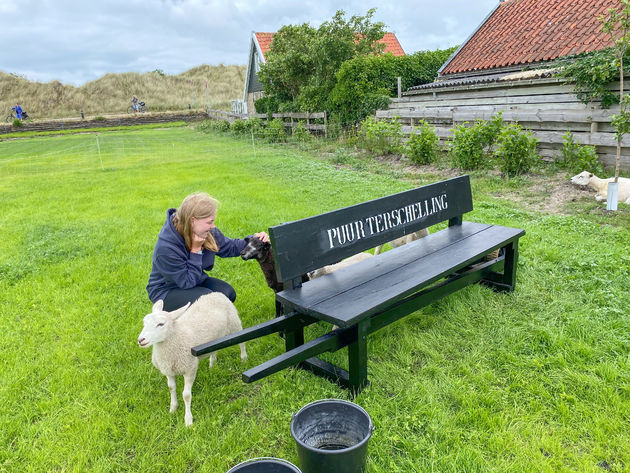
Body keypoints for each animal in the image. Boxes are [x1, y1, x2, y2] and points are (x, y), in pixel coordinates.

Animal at [137, 294, 248, 426]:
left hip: (234, 323)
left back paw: (244, 358)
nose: (141, 340)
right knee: (213, 349)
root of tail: (216, 293)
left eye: (161, 324)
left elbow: (186, 395)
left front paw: (188, 420)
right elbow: (171, 388)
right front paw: (173, 408)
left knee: (241, 342)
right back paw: (212, 365)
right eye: (144, 322)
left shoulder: (190, 369)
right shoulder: (168, 370)